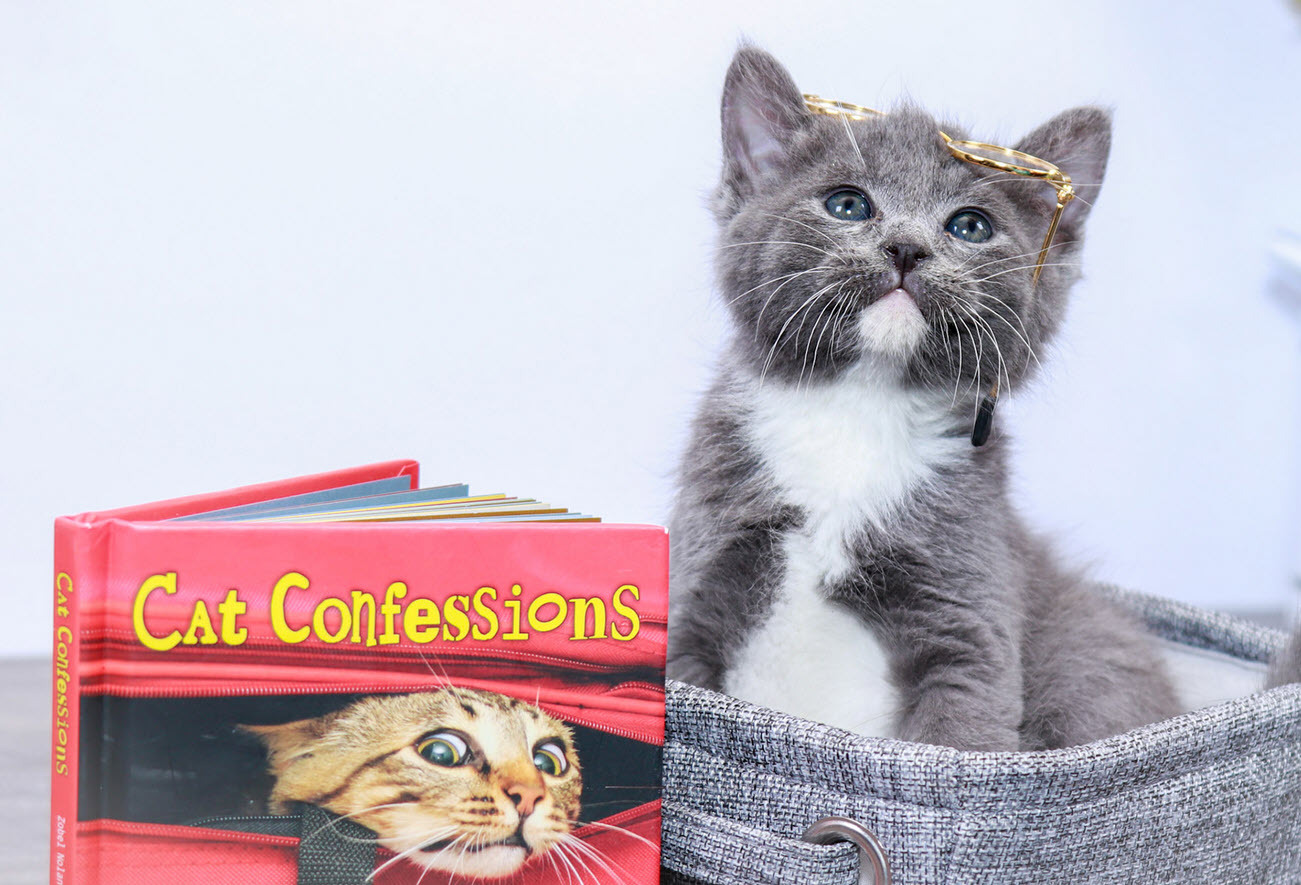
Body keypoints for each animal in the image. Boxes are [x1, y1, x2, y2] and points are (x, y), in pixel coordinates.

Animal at [666, 48, 1186, 749]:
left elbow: (963, 726)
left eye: (970, 225)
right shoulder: (696, 586)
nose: (907, 248)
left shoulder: (966, 616)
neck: (859, 409)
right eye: (847, 205)